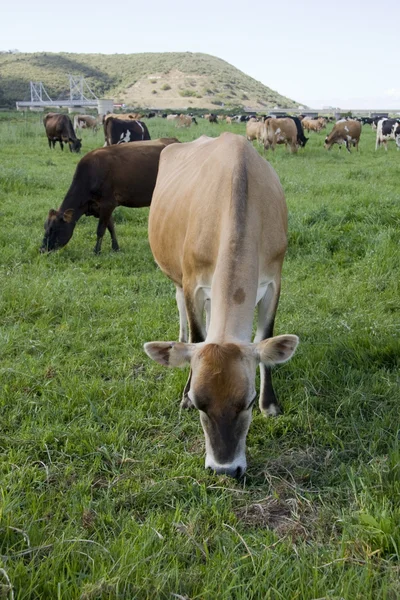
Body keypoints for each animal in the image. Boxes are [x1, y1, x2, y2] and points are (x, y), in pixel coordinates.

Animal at [40, 138, 178, 253]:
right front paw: (115, 248)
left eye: (53, 229)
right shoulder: (101, 207)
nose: (42, 249)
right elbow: (111, 227)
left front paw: (96, 251)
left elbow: (100, 229)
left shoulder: (108, 203)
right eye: (45, 227)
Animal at [144, 135, 296, 478]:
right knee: (182, 311)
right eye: (201, 403)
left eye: (248, 402)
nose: (224, 469)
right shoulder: (192, 282)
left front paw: (271, 404)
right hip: (175, 274)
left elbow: (265, 336)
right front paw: (184, 394)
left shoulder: (274, 279)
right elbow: (198, 336)